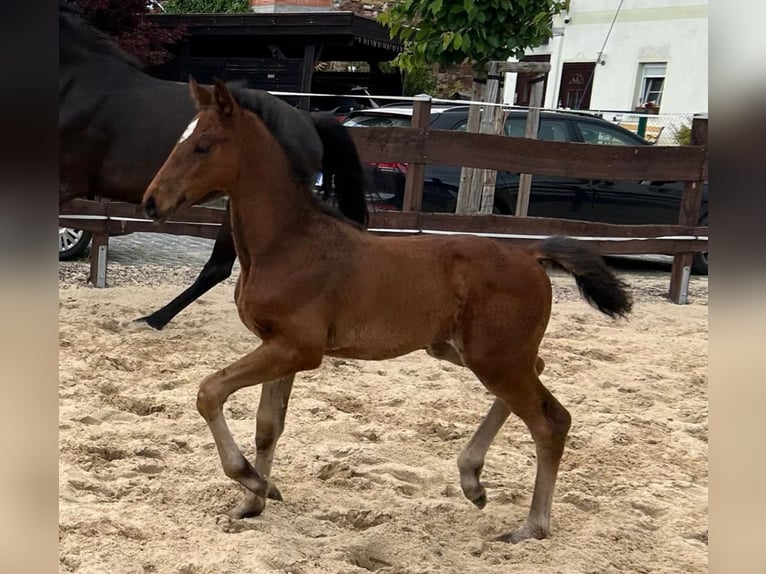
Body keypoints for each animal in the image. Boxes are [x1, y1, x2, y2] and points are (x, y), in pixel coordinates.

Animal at [141, 80, 632, 544]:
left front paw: (253, 481)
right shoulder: (277, 346)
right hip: (469, 352)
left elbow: (209, 392)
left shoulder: (297, 349)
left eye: (203, 145)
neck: (289, 244)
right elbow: (267, 426)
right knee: (544, 380)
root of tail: (530, 255)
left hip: (495, 359)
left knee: (549, 424)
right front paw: (253, 500)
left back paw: (531, 525)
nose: (151, 202)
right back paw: (472, 479)